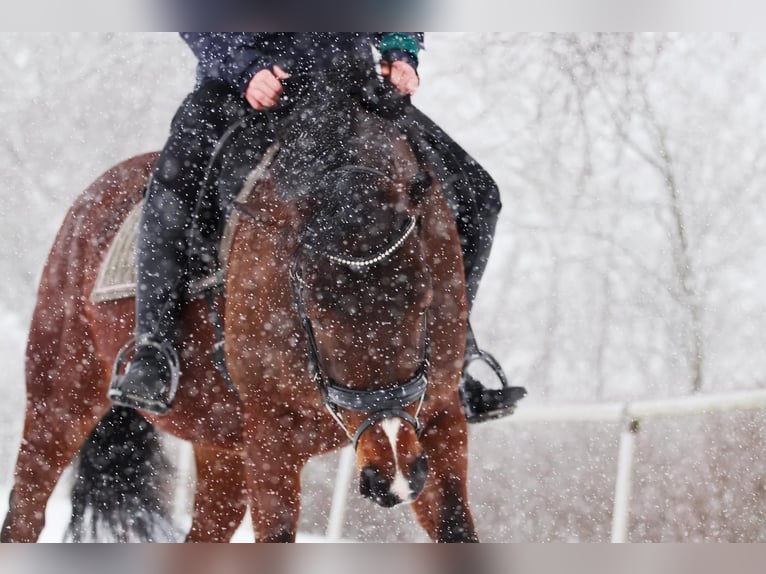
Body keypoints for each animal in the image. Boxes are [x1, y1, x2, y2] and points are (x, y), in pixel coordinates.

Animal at [1, 73, 477, 543]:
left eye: (424, 300)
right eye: (316, 315)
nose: (392, 474)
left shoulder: (439, 418)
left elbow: (455, 525)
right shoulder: (271, 441)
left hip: (221, 444)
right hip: (61, 399)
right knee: (25, 512)